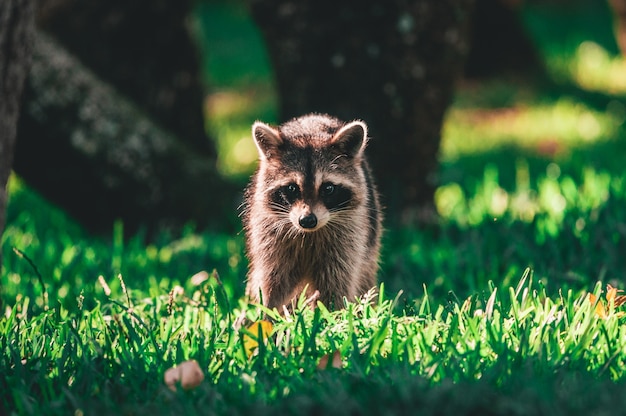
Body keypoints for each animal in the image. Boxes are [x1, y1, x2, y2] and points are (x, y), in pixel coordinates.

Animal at [243, 114, 380, 308]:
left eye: (328, 188)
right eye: (292, 188)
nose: (307, 220)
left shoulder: (348, 235)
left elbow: (337, 282)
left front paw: (332, 313)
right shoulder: (269, 235)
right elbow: (273, 280)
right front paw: (266, 311)